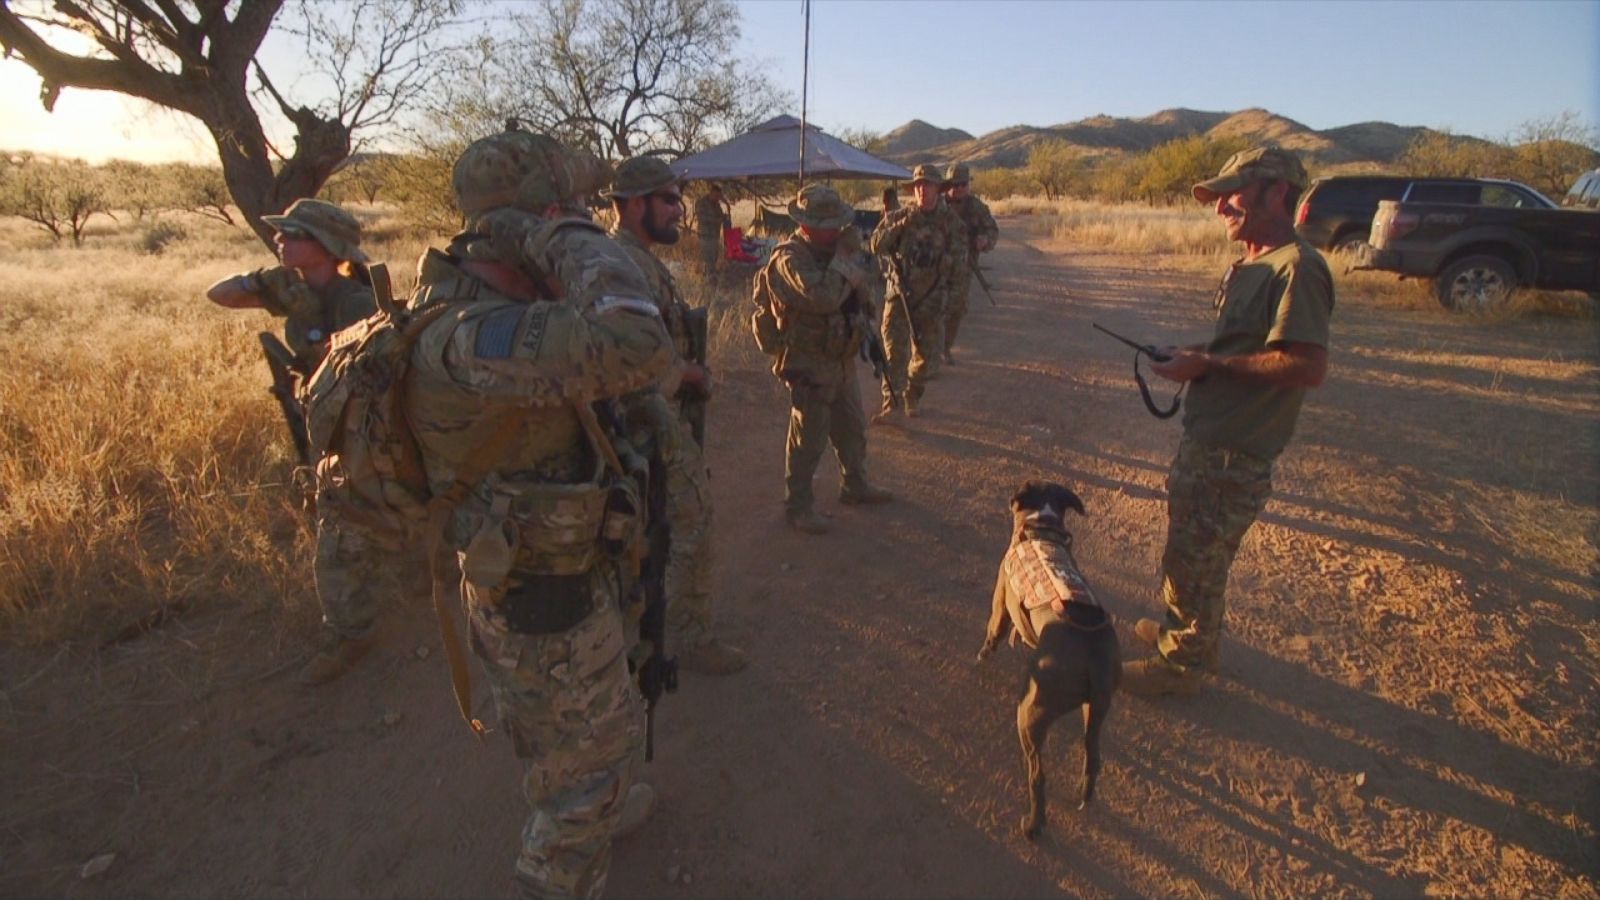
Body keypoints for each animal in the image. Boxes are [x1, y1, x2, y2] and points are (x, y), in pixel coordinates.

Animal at [972, 480, 1126, 839]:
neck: (1041, 527)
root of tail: (1092, 657)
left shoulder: (1001, 604)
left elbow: (993, 633)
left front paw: (982, 656)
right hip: (1095, 708)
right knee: (1092, 756)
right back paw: (1083, 797)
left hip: (1030, 714)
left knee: (1037, 775)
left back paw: (1033, 825)